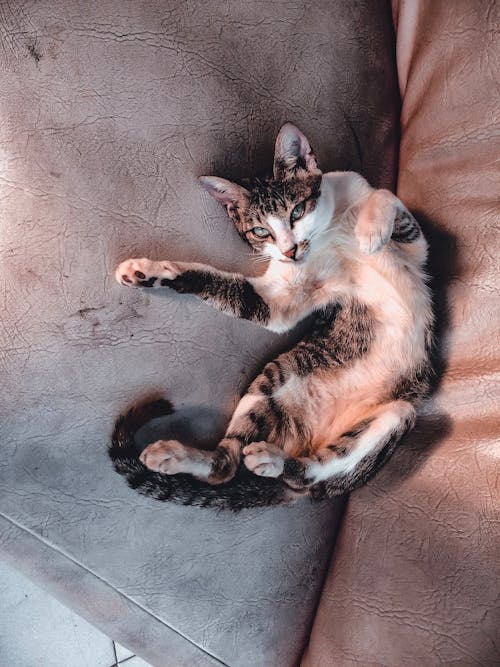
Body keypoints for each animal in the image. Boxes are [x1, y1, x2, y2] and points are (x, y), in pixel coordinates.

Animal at [110, 122, 434, 508]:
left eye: (296, 211)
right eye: (261, 231)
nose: (290, 250)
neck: (330, 230)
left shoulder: (414, 247)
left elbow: (384, 196)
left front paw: (369, 232)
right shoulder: (278, 300)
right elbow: (223, 285)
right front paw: (146, 271)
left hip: (398, 412)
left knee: (315, 470)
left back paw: (271, 460)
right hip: (273, 378)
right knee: (228, 465)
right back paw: (185, 456)